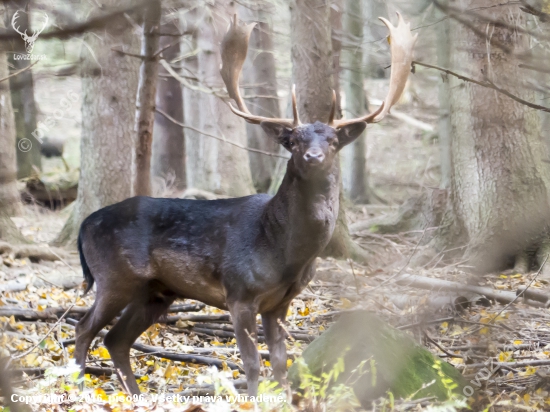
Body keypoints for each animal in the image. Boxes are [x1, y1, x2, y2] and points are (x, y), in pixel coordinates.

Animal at [74, 12, 418, 396]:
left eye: (332, 140)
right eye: (294, 140)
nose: (313, 156)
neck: (285, 254)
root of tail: (84, 225)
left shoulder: (280, 302)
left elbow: (281, 362)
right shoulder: (239, 293)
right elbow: (253, 363)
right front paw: (251, 398)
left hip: (156, 291)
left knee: (116, 338)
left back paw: (133, 394)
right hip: (114, 277)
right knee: (84, 328)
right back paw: (75, 385)